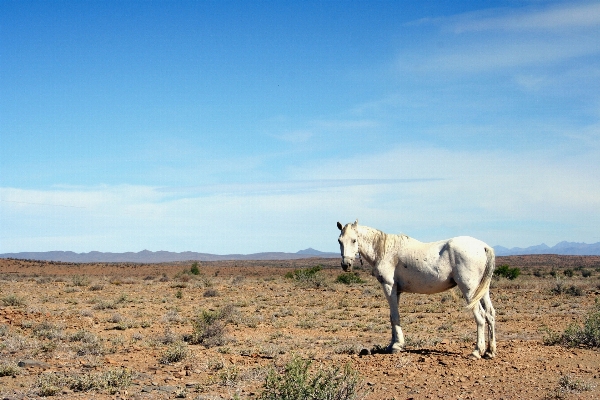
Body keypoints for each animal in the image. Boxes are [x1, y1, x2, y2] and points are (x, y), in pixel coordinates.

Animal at [338, 220, 496, 358]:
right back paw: (490, 352)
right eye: (340, 240)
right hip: (482, 291)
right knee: (490, 314)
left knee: (480, 316)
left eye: (354, 240)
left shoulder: (389, 287)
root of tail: (483, 247)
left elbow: (395, 316)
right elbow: (392, 317)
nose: (346, 265)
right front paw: (391, 345)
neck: (385, 251)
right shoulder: (396, 291)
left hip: (469, 290)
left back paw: (477, 352)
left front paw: (396, 346)